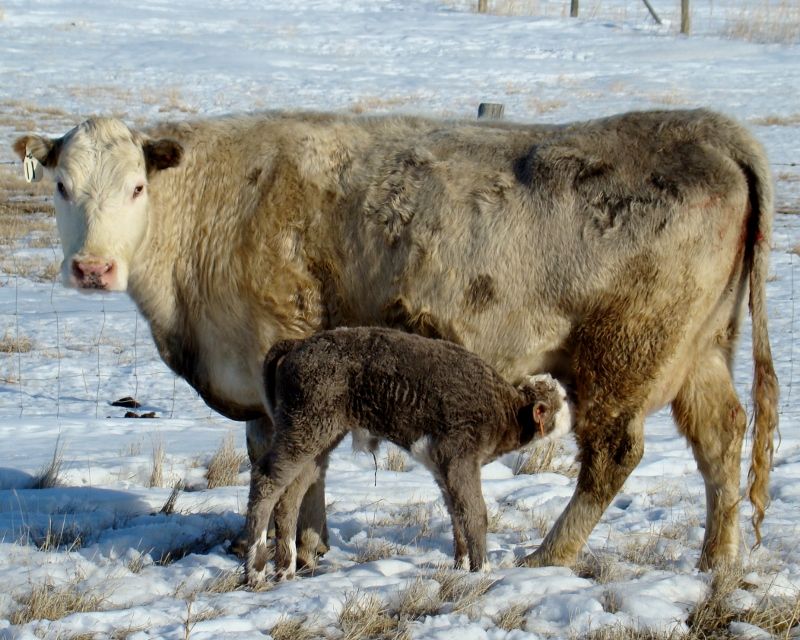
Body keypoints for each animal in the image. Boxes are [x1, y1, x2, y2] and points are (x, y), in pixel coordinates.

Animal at [246, 327, 572, 584]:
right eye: (562, 399)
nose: (573, 411)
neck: (504, 411)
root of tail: (299, 344)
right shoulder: (460, 458)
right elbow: (474, 513)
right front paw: (483, 569)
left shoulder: (442, 467)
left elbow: (456, 513)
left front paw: (461, 564)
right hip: (305, 428)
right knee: (266, 480)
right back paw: (256, 570)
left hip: (318, 440)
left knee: (291, 493)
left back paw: (285, 568)